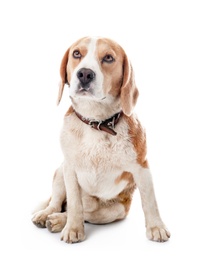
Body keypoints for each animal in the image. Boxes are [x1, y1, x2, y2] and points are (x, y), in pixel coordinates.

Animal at [31, 36, 170, 244]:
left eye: (108, 57)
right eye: (76, 53)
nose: (85, 74)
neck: (96, 122)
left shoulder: (142, 167)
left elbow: (150, 201)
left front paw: (156, 227)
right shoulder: (69, 168)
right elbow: (75, 204)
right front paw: (73, 228)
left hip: (115, 210)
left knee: (88, 213)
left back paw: (57, 220)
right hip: (59, 172)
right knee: (59, 203)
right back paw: (48, 215)